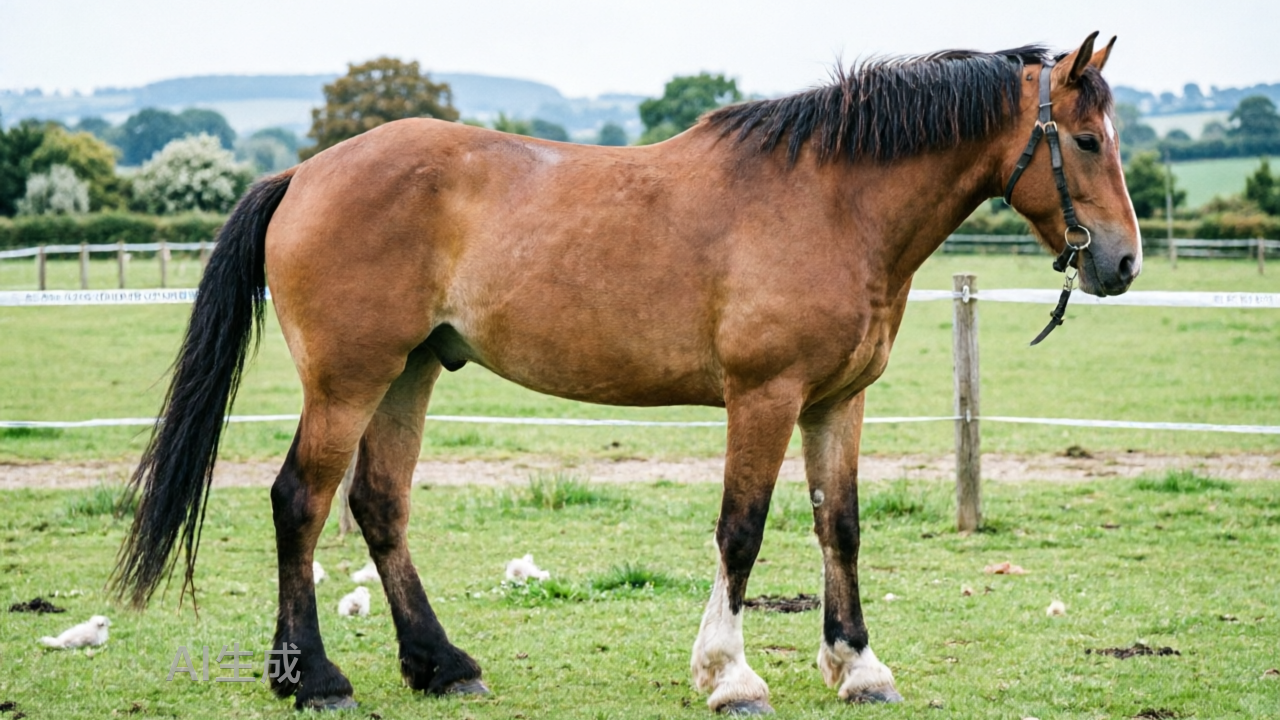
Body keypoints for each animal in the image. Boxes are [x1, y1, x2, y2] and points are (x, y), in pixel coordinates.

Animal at [113, 33, 1140, 714]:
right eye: (1087, 141)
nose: (1122, 263)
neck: (831, 201)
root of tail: (304, 173)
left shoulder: (837, 403)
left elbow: (839, 528)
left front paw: (858, 666)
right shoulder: (762, 397)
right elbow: (742, 531)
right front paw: (729, 676)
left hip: (408, 374)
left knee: (378, 503)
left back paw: (441, 665)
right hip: (348, 380)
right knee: (301, 499)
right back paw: (315, 678)